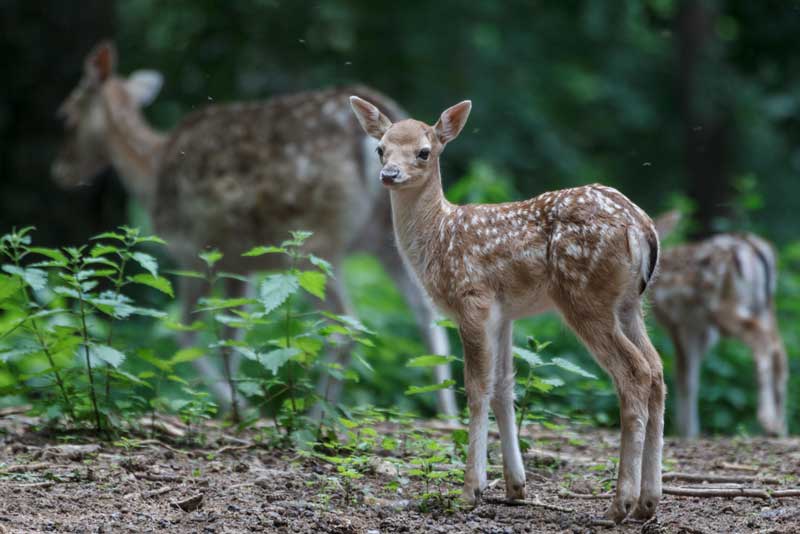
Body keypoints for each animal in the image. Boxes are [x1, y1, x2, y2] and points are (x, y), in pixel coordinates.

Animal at [51, 42, 456, 418]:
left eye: (65, 116)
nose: (61, 171)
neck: (150, 172)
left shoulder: (194, 252)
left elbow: (186, 332)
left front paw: (239, 408)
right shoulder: (239, 265)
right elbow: (232, 333)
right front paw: (236, 404)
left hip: (315, 241)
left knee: (348, 324)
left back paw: (315, 418)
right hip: (385, 240)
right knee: (427, 316)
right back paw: (448, 416)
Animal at [350, 96, 664, 524]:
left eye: (424, 151)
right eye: (380, 148)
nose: (389, 174)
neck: (439, 237)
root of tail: (642, 227)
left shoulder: (472, 299)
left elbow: (476, 387)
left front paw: (471, 489)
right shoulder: (505, 313)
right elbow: (504, 386)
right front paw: (515, 486)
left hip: (585, 297)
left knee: (634, 373)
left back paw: (621, 504)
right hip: (630, 304)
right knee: (657, 370)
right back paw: (649, 502)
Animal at [652, 213, 792, 440]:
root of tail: (754, 247)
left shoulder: (677, 323)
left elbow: (684, 375)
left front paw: (687, 432)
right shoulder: (700, 329)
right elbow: (691, 375)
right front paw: (690, 431)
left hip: (723, 305)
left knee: (762, 340)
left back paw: (768, 420)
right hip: (765, 306)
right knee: (779, 351)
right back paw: (781, 428)